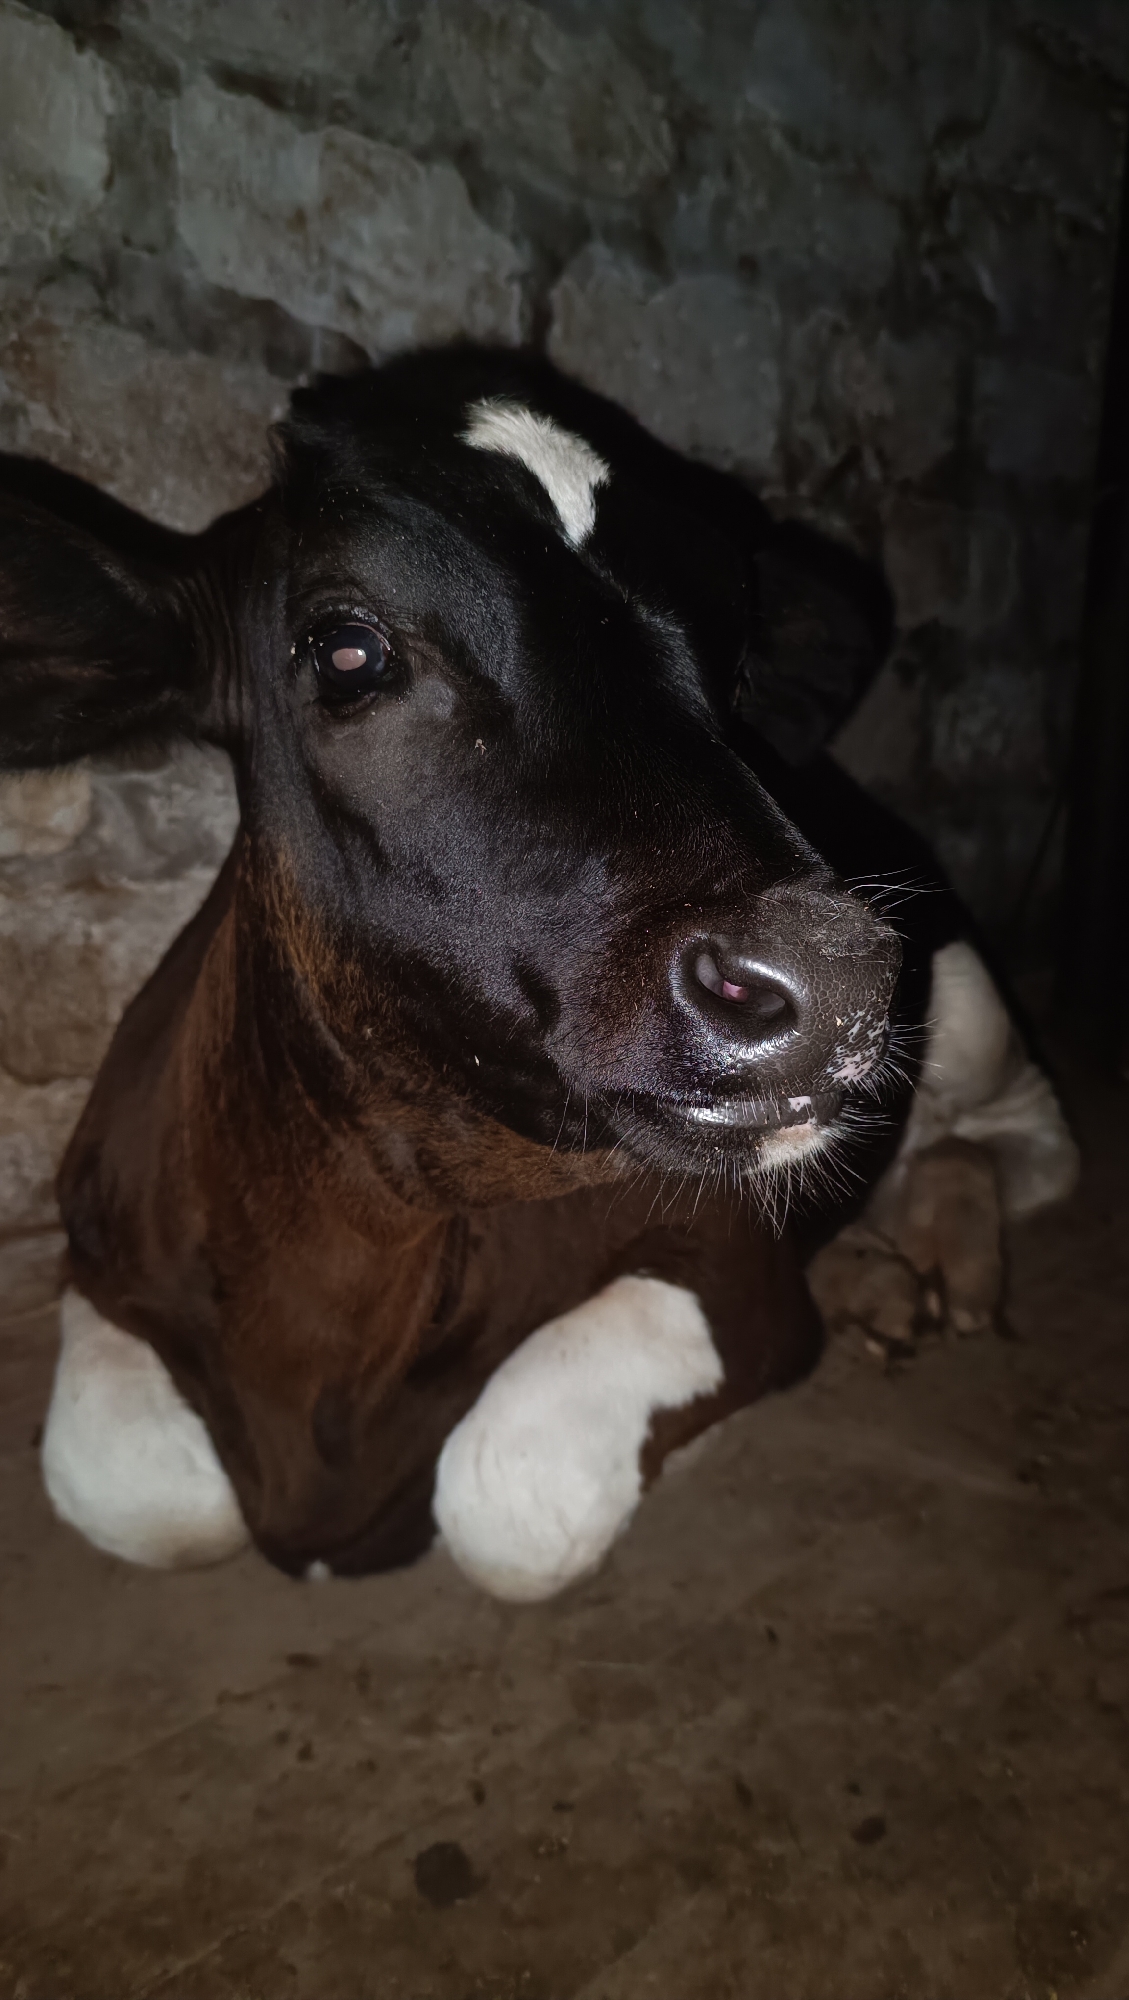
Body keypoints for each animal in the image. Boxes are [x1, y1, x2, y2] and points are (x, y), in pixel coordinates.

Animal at [0, 348, 1076, 1602]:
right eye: (348, 649)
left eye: (739, 658)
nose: (830, 975)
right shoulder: (96, 1249)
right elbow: (138, 1489)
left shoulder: (726, 1267)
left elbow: (505, 1488)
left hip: (963, 1001)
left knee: (1021, 1136)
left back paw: (952, 1239)